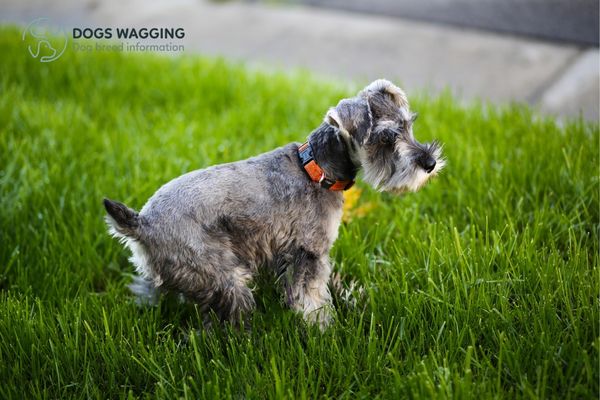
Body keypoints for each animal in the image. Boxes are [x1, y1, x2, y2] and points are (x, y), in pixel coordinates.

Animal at [103, 78, 442, 328]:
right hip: (222, 275)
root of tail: (142, 224)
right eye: (385, 139)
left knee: (149, 289)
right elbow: (313, 298)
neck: (316, 169)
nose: (430, 163)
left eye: (408, 125)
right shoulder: (310, 252)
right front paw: (324, 329)